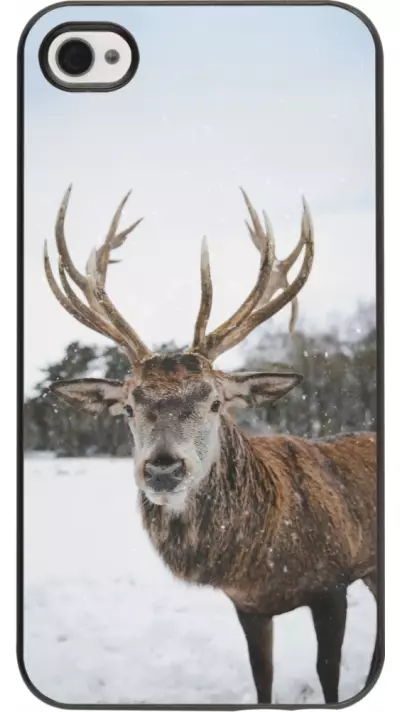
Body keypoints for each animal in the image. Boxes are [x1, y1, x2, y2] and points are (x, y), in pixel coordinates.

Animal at [43, 185, 377, 704]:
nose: (162, 468)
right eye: (128, 407)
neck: (264, 559)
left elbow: (328, 675)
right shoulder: (248, 606)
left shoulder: (334, 582)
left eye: (216, 402)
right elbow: (262, 678)